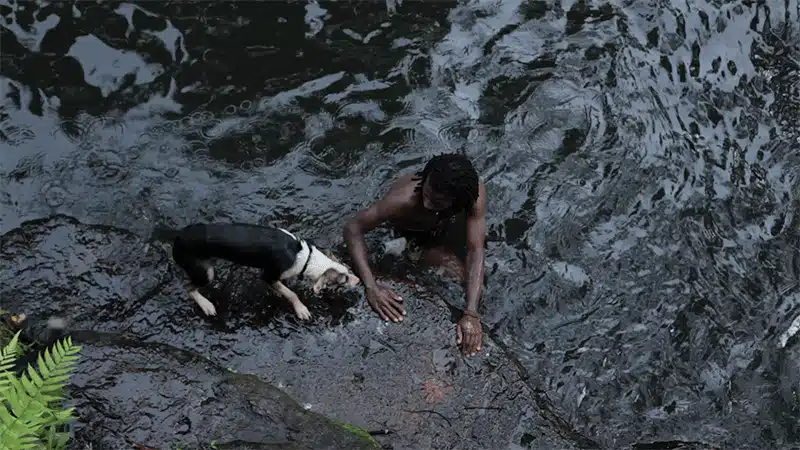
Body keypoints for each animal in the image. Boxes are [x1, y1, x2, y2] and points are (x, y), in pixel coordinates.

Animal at [157, 223, 360, 320]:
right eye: (343, 280)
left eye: (349, 270)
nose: (359, 280)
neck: (306, 258)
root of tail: (178, 235)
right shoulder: (270, 274)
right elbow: (292, 293)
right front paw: (301, 309)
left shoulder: (270, 276)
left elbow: (281, 288)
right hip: (205, 272)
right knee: (188, 287)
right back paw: (207, 305)